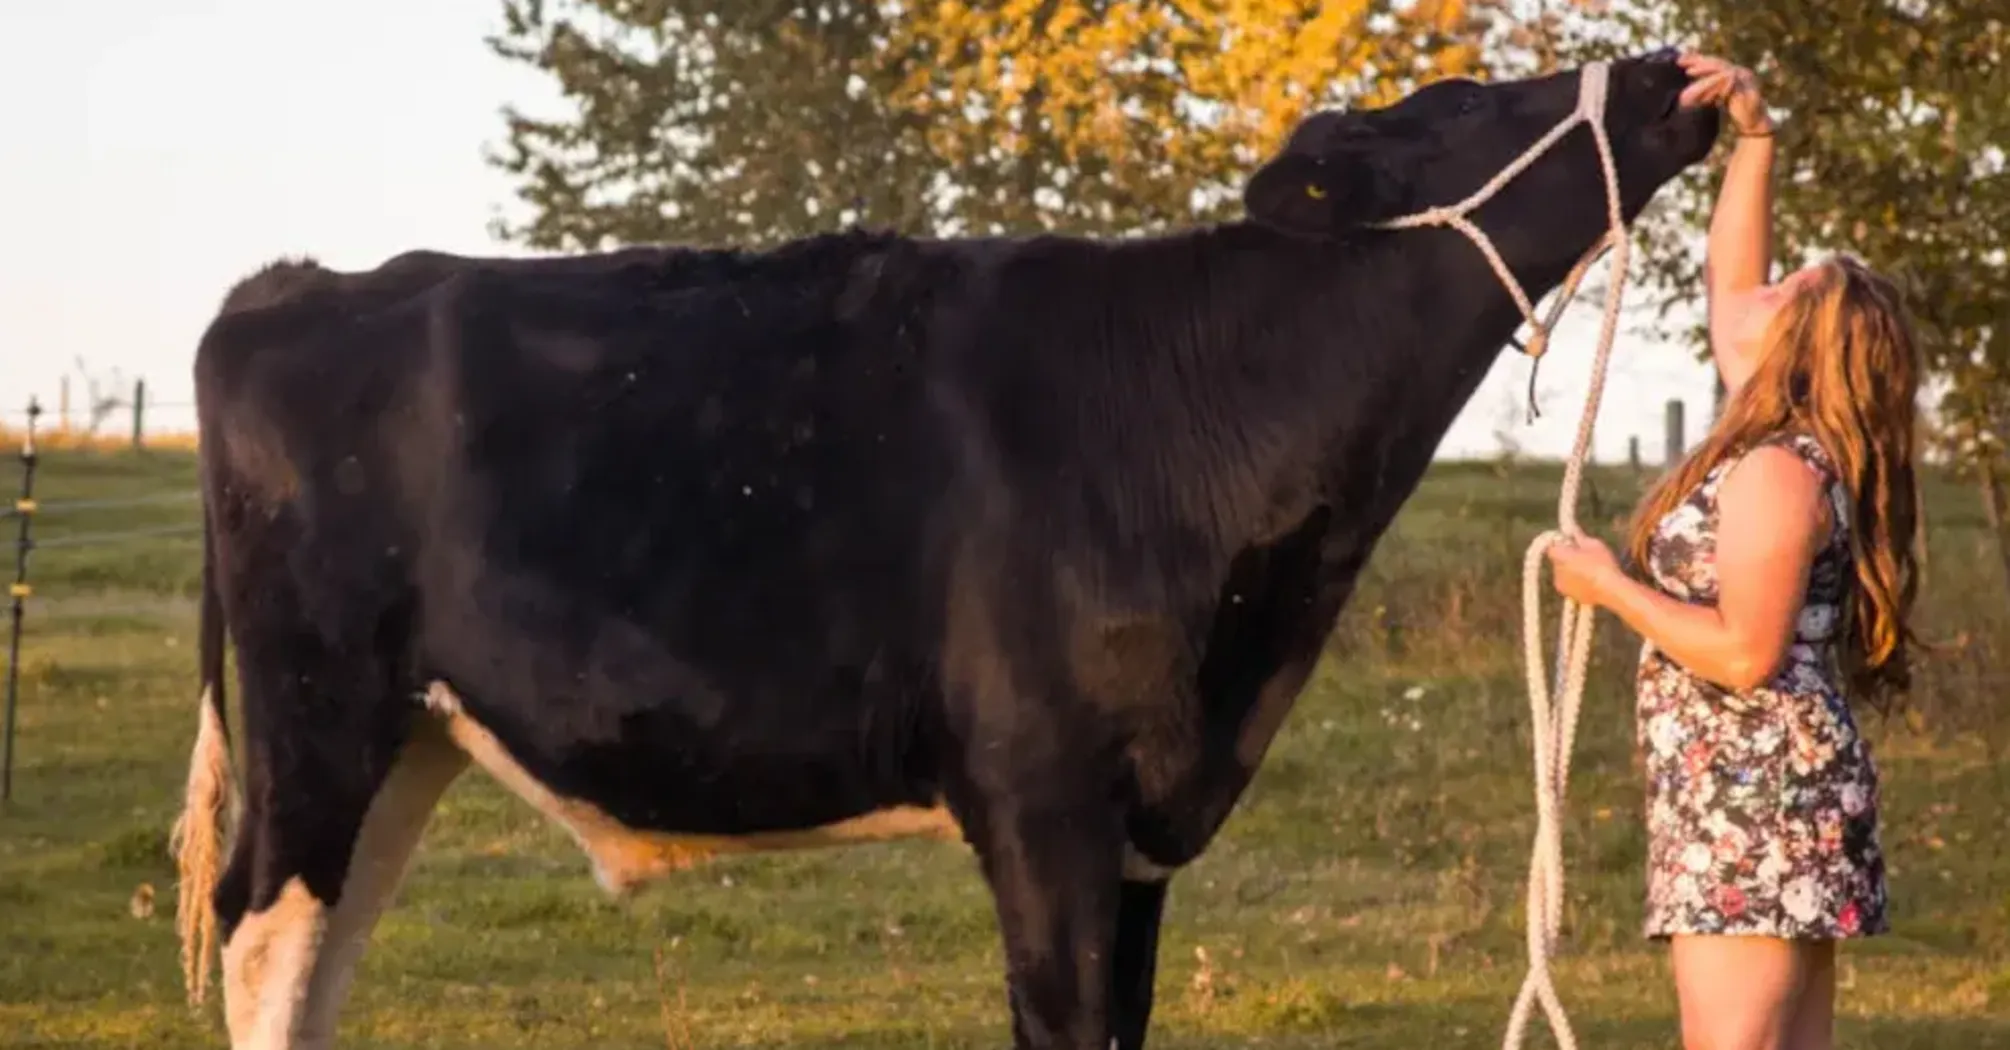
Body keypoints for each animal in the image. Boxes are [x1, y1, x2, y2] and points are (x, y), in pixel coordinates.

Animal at [164, 51, 1720, 1045]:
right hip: (316, 712)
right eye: (1468, 100)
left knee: (326, 950)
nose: (1663, 68)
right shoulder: (1042, 798)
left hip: (408, 736)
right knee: (266, 940)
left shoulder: (1140, 828)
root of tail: (290, 286)